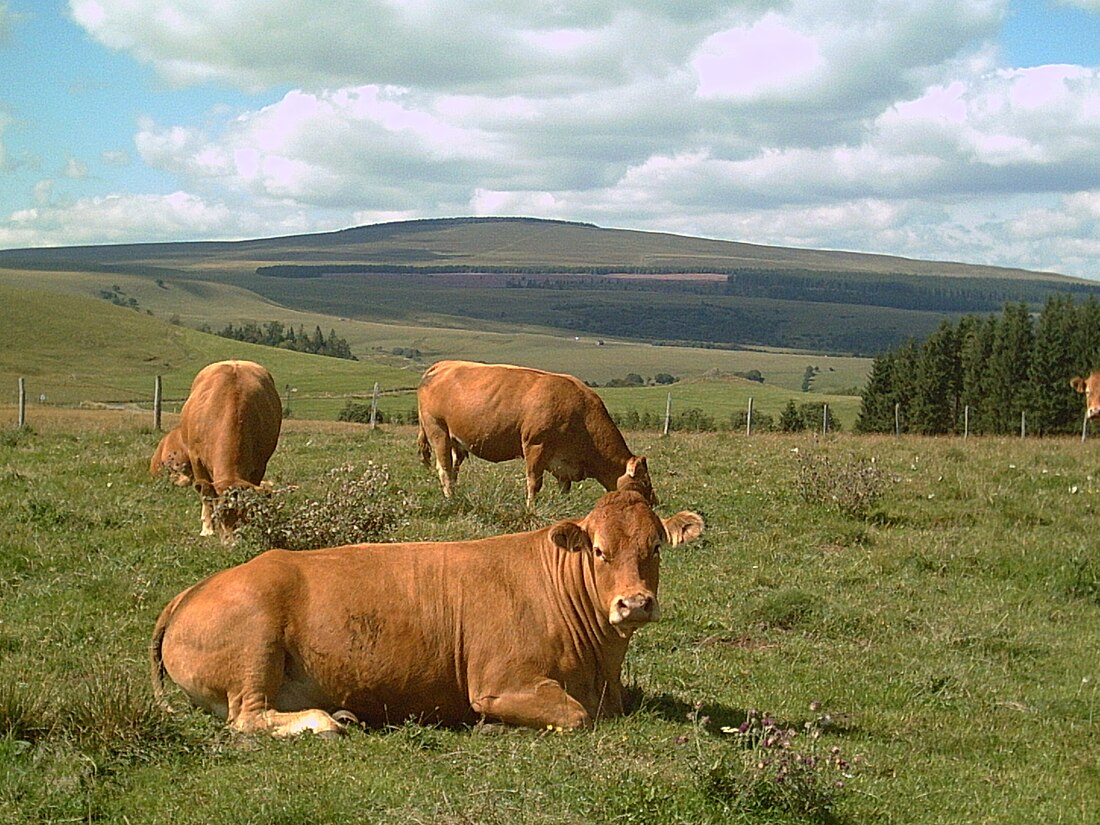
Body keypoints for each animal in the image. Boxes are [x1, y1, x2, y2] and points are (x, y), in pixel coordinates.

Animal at [148, 490, 704, 734]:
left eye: (655, 546)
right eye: (600, 551)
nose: (635, 602)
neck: (600, 667)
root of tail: (194, 589)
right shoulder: (502, 683)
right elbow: (576, 716)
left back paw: (343, 713)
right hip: (254, 645)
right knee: (247, 719)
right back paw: (324, 721)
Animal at [169, 358, 283, 539]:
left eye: (243, 513)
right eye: (220, 514)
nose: (232, 542)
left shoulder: (260, 464)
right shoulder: (196, 458)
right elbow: (206, 493)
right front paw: (207, 528)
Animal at [413, 360, 651, 510]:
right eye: (644, 483)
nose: (654, 504)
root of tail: (442, 365)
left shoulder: (564, 461)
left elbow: (565, 487)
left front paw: (563, 506)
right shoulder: (536, 445)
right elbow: (534, 482)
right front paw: (531, 509)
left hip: (457, 440)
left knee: (454, 468)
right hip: (438, 430)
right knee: (444, 468)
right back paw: (451, 499)